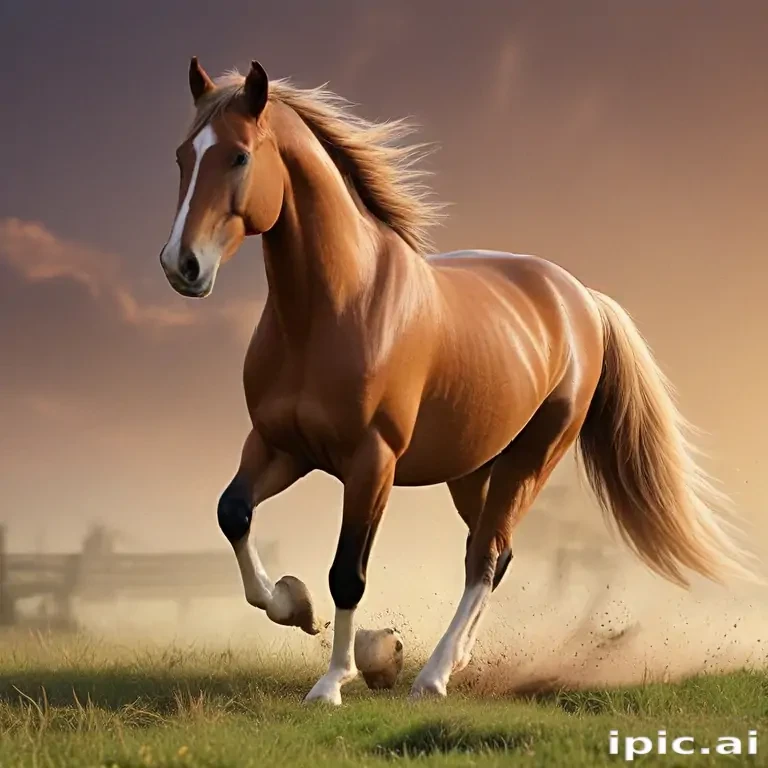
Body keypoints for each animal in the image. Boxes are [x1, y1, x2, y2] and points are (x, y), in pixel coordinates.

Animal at [158, 58, 751, 705]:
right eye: (183, 155)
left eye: (239, 156)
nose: (181, 265)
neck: (332, 310)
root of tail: (581, 300)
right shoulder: (280, 446)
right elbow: (234, 514)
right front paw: (298, 606)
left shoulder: (372, 463)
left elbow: (348, 573)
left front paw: (334, 681)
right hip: (472, 470)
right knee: (490, 553)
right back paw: (451, 659)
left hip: (531, 460)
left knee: (487, 555)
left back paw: (434, 675)